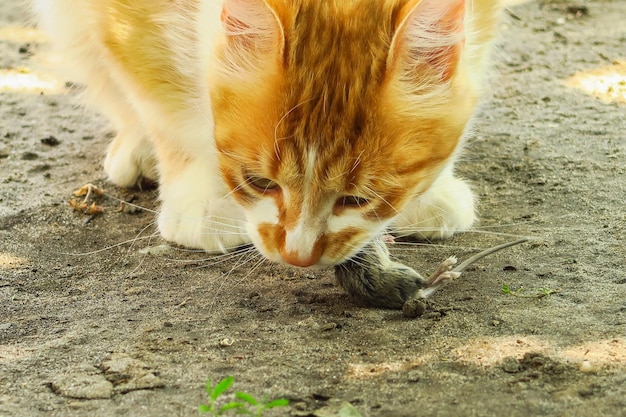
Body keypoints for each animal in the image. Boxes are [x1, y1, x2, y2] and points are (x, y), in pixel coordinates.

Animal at [31, 0, 502, 266]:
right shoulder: (125, 17)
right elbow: (161, 97)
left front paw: (430, 191)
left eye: (359, 200)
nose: (298, 256)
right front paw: (202, 198)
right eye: (259, 182)